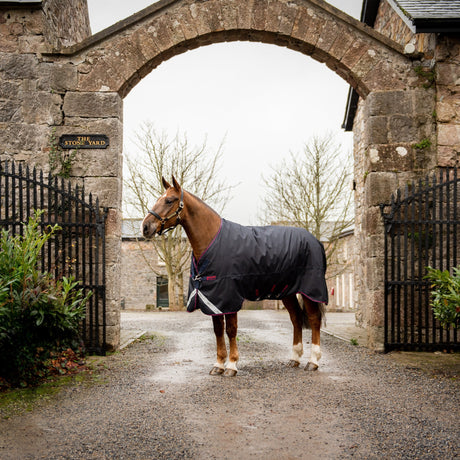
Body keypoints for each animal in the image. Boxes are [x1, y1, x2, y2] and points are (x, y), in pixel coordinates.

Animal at [141, 177, 328, 378]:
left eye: (169, 200)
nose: (145, 227)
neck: (211, 241)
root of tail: (314, 240)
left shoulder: (229, 297)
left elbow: (230, 330)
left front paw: (231, 365)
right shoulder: (212, 299)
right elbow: (217, 330)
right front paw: (218, 364)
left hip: (309, 290)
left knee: (314, 319)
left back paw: (313, 361)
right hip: (287, 292)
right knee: (296, 318)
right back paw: (295, 358)